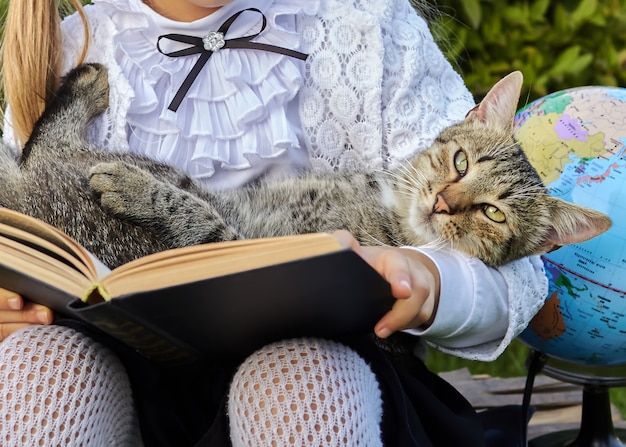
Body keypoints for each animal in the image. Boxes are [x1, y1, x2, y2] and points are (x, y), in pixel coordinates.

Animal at [0, 63, 608, 272]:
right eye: (460, 163)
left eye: (493, 214)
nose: (442, 201)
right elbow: (195, 193)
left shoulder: (248, 243)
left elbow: (191, 209)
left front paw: (133, 190)